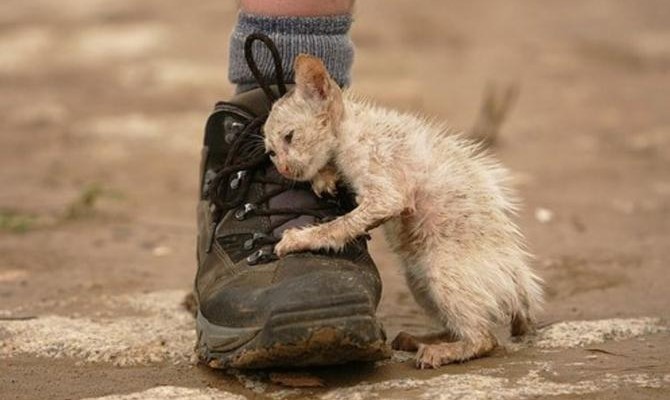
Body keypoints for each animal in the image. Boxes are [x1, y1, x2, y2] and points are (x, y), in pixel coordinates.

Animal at [264, 54, 544, 368]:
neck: (352, 128)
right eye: (271, 153)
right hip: (418, 281)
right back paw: (419, 340)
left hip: (441, 271)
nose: (283, 169)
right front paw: (324, 178)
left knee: (484, 339)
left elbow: (341, 225)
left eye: (290, 136)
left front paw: (298, 239)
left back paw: (440, 351)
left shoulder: (386, 191)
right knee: (462, 327)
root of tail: (519, 285)